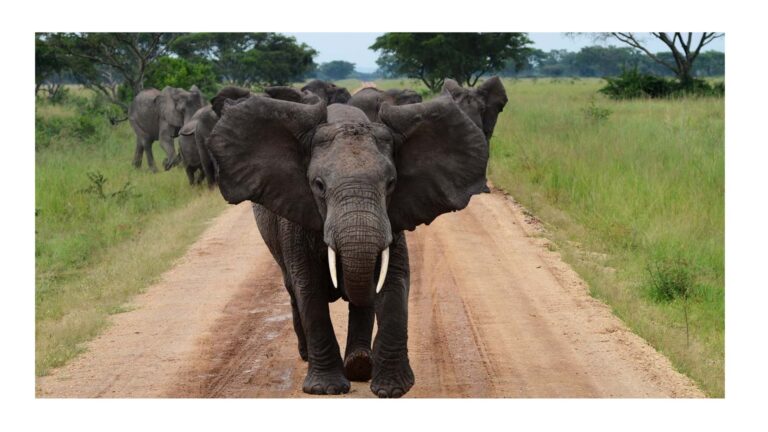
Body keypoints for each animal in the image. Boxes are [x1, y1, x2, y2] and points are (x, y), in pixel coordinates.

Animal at [208, 90, 489, 397]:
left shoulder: (392, 218)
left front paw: (392, 389)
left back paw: (360, 365)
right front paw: (326, 389)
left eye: (391, 184)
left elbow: (394, 280)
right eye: (318, 185)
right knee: (292, 287)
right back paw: (310, 355)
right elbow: (309, 288)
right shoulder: (296, 219)